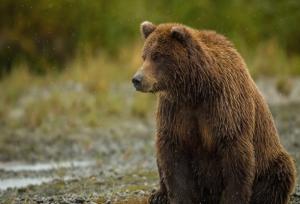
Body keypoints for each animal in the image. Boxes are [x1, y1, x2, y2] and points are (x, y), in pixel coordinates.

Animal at [132, 21, 298, 204]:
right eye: (144, 56)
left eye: (157, 56)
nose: (137, 79)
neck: (195, 90)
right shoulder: (175, 110)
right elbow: (173, 153)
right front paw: (179, 197)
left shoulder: (225, 107)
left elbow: (235, 154)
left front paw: (233, 198)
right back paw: (159, 195)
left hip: (269, 159)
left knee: (280, 172)